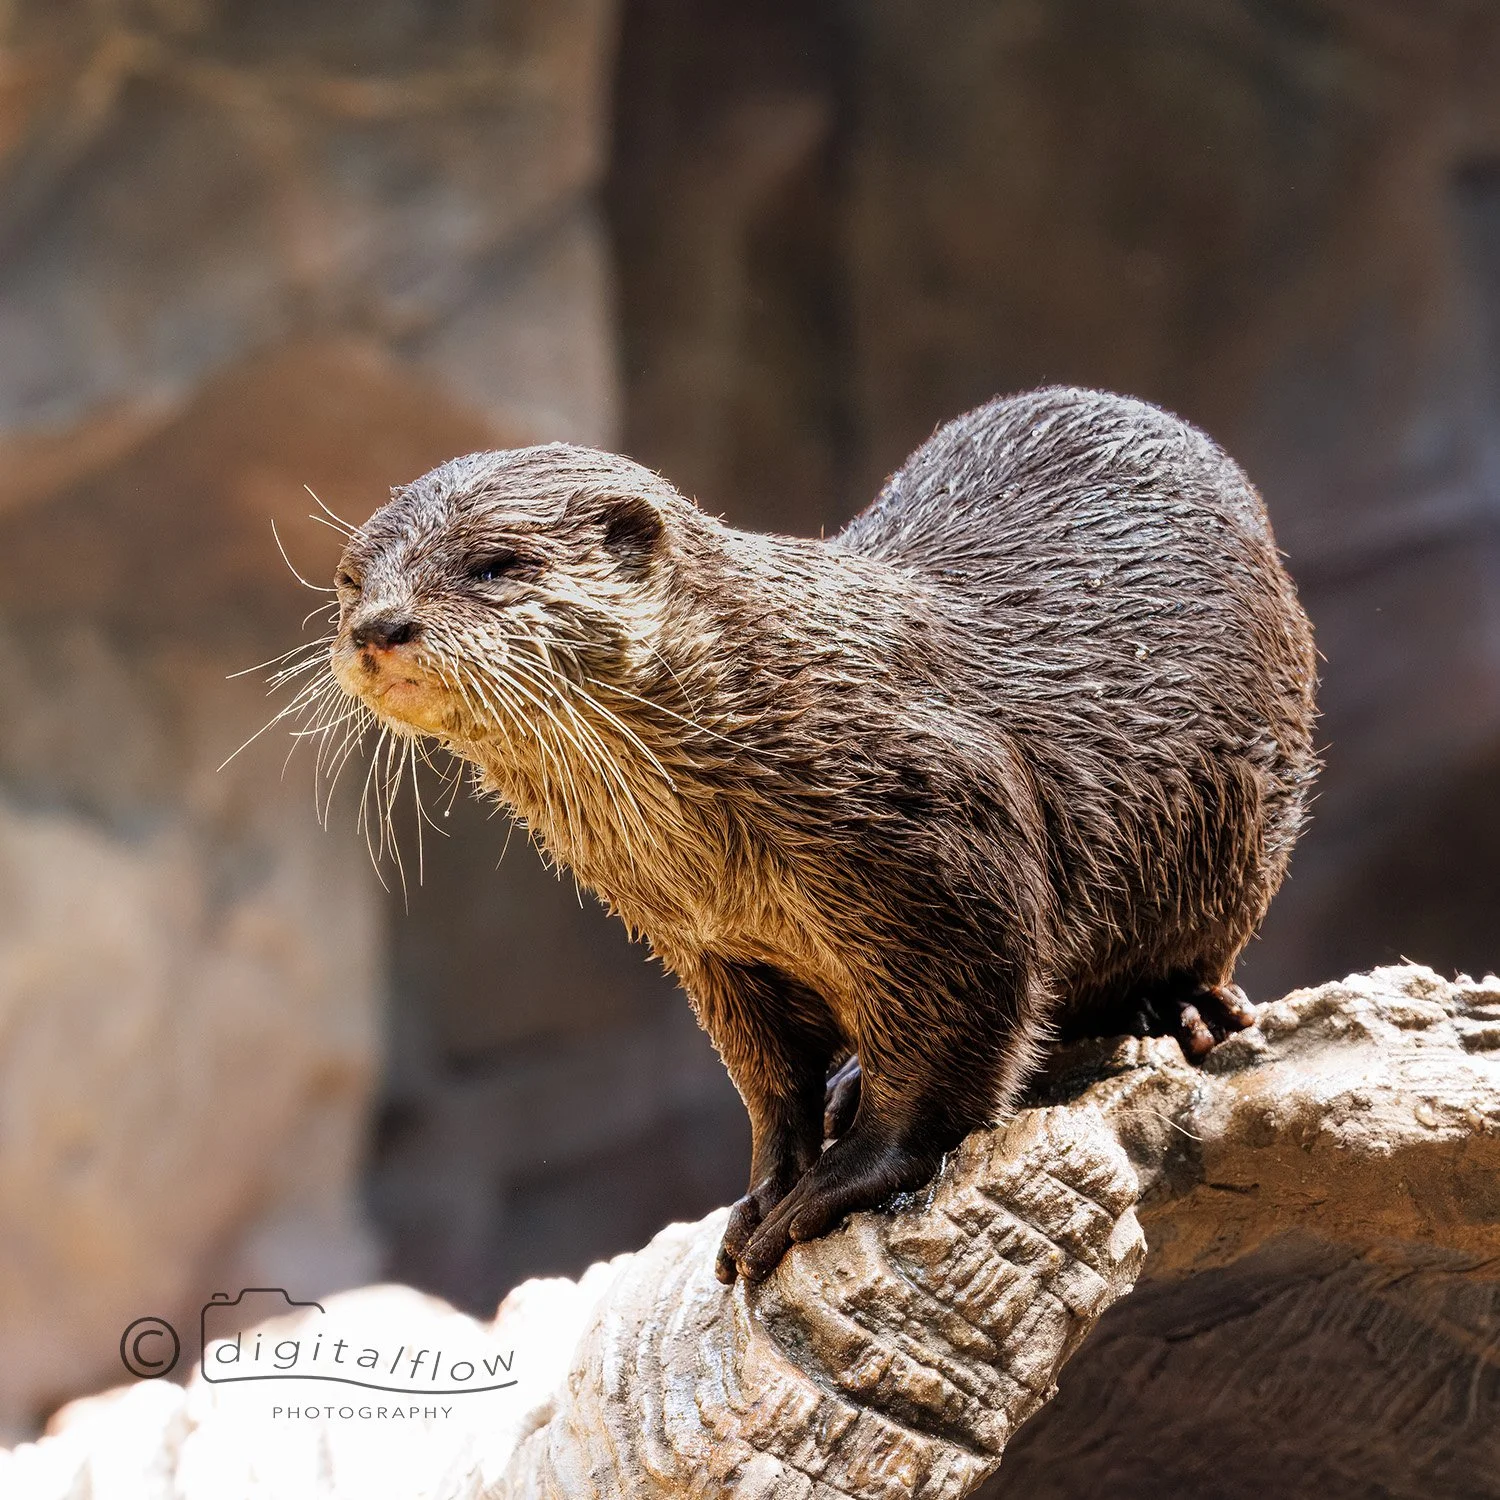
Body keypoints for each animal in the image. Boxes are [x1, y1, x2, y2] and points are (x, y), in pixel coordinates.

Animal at [317, 387, 1317, 1285]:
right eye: (350, 580)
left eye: (494, 565)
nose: (379, 627)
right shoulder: (713, 952)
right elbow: (769, 1081)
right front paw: (764, 1190)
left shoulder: (950, 857)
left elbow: (949, 1047)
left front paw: (831, 1188)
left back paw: (1183, 1010)